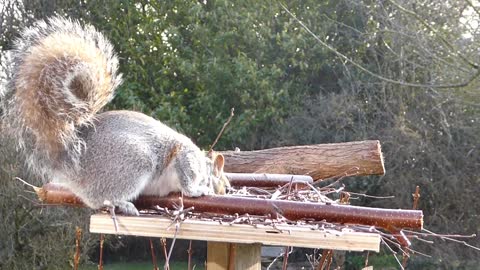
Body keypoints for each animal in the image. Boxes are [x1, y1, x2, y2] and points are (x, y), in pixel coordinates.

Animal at [1, 16, 231, 215]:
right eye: (227, 187)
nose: (225, 192)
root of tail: (71, 163)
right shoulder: (186, 156)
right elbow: (187, 177)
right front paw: (198, 190)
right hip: (134, 162)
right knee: (102, 197)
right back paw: (123, 203)